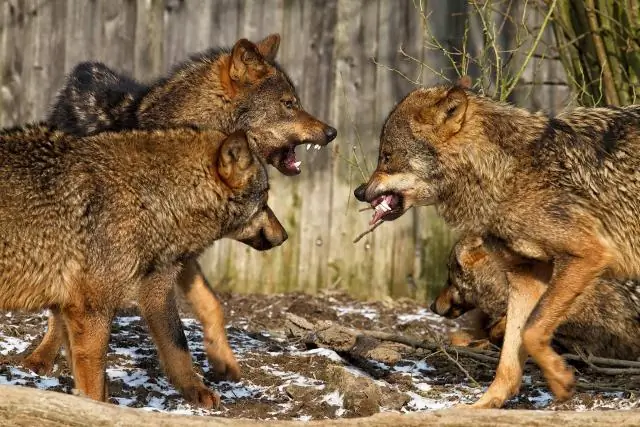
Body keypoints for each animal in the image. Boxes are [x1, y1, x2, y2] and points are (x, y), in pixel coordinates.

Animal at [0, 124, 288, 408]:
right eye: (265, 198)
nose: (285, 235)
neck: (151, 199)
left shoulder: (151, 289)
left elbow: (175, 343)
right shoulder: (91, 311)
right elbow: (95, 389)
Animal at [29, 32, 338, 388]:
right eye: (289, 104)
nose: (332, 132)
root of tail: (81, 73)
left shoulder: (183, 251)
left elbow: (211, 304)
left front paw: (222, 361)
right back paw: (42, 356)